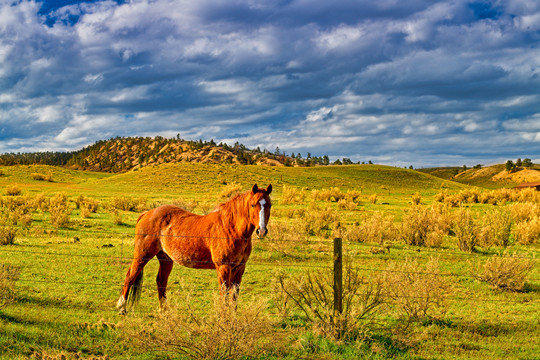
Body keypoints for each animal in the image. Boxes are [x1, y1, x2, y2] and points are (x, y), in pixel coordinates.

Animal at [116, 183, 272, 312]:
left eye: (269, 205)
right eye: (253, 205)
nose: (261, 231)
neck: (230, 228)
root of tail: (147, 213)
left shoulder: (239, 269)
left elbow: (234, 297)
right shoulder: (223, 268)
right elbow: (224, 295)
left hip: (165, 259)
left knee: (161, 281)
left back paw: (164, 311)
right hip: (143, 255)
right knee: (130, 276)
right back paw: (122, 308)